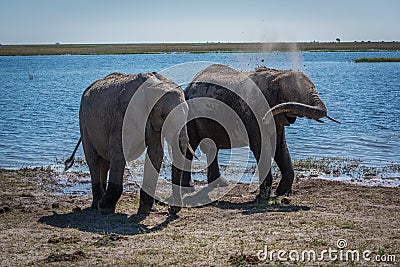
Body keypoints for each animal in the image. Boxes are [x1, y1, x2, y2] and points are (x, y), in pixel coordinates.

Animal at [65, 72, 195, 217]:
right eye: (162, 115)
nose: (170, 210)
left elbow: (155, 154)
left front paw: (145, 212)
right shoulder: (121, 118)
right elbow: (118, 153)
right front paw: (104, 208)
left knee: (104, 163)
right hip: (84, 123)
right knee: (93, 160)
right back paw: (96, 205)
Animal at [183, 64, 340, 199]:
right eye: (295, 95)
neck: (277, 75)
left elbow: (280, 147)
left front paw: (282, 193)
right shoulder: (253, 112)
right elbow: (261, 145)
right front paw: (262, 197)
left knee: (211, 147)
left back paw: (220, 184)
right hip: (190, 113)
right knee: (191, 145)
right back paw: (188, 187)